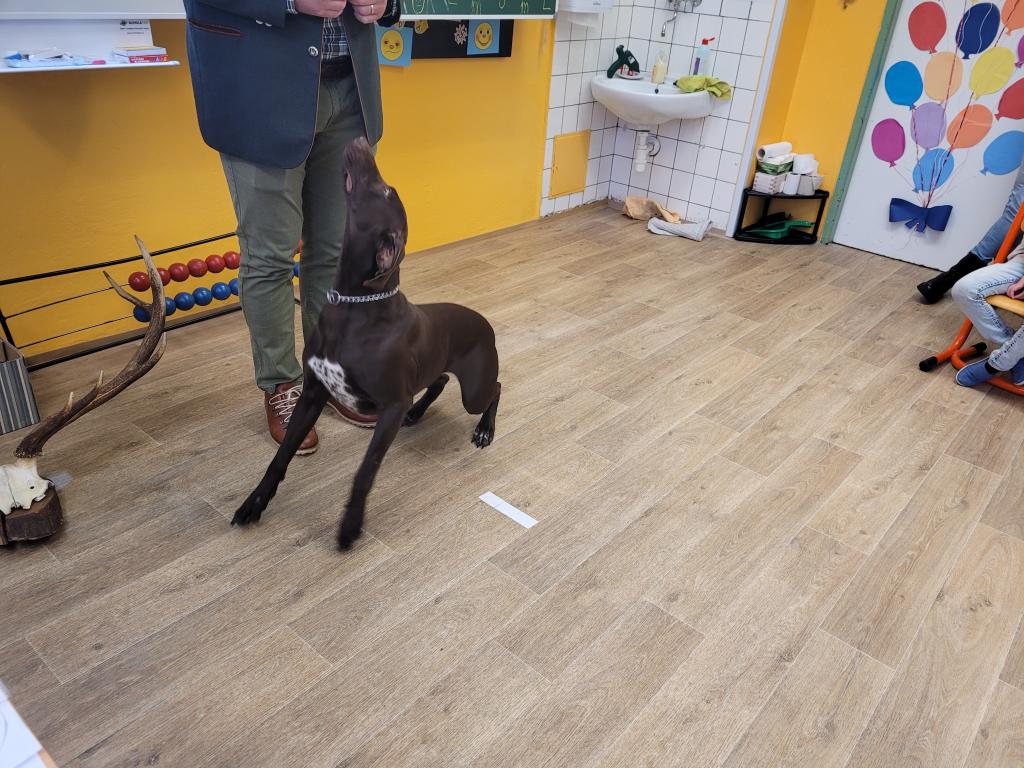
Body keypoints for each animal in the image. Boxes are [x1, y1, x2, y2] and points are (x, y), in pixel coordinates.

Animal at [232, 137, 501, 550]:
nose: (359, 139)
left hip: (474, 389)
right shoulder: (312, 394)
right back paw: (418, 412)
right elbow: (280, 457)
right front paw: (255, 502)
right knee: (438, 379)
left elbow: (365, 471)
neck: (353, 308)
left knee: (495, 389)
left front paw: (351, 524)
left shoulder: (390, 405)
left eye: (386, 191)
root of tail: (482, 321)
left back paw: (485, 429)